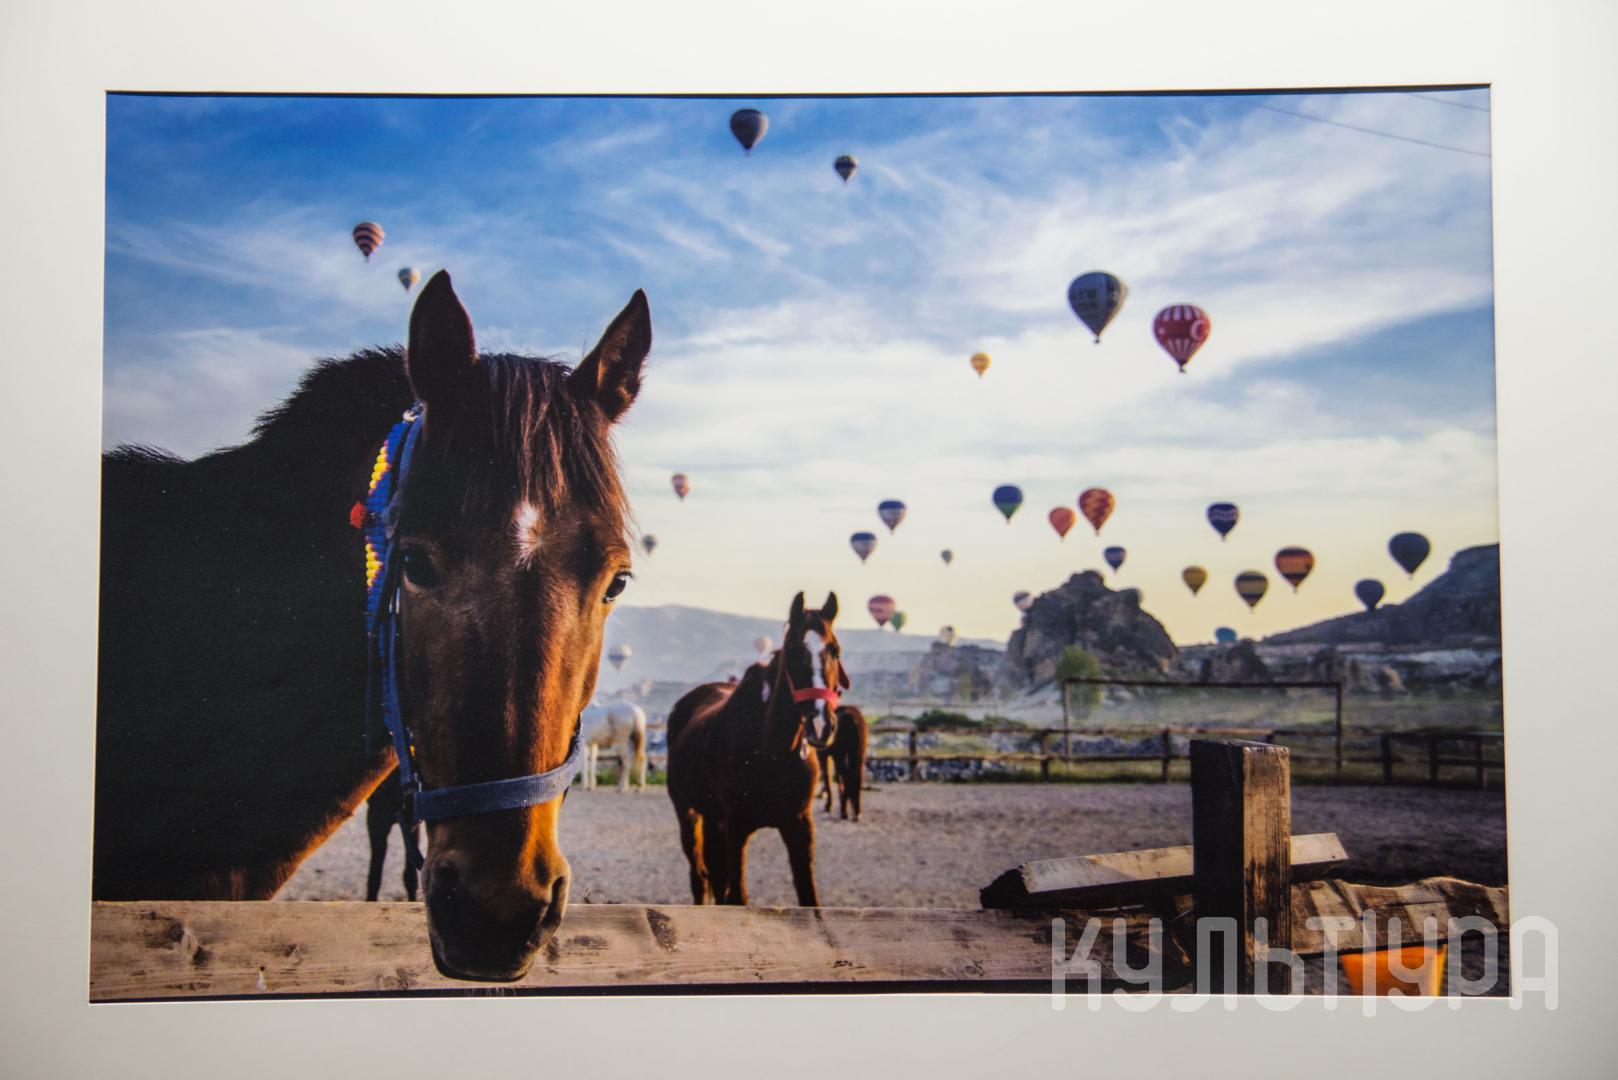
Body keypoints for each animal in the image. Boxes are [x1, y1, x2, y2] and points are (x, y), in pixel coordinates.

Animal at [665, 591, 848, 905]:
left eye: (835, 650)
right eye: (795, 652)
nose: (821, 724)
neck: (770, 750)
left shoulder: (799, 826)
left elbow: (808, 898)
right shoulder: (737, 828)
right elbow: (737, 895)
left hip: (714, 820)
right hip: (688, 813)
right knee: (699, 876)